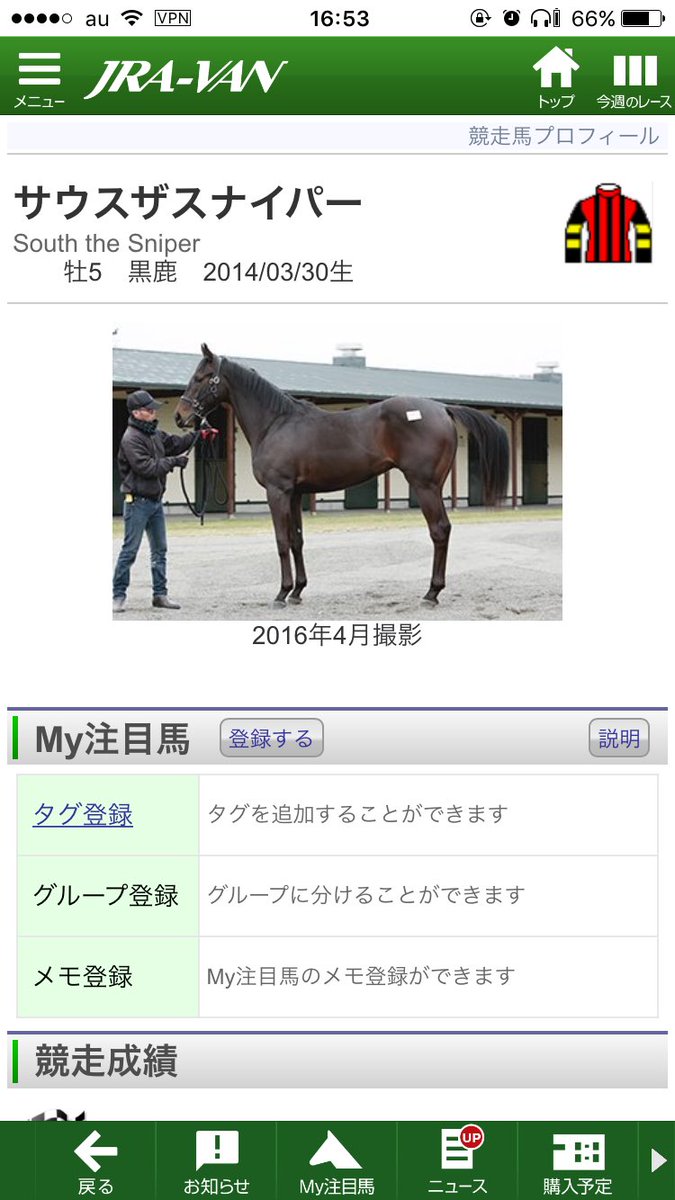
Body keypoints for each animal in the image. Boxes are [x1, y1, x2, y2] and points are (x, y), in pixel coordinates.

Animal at [175, 344, 509, 606]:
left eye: (201, 378)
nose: (180, 416)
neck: (276, 423)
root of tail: (442, 408)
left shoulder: (277, 491)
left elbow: (281, 541)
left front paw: (281, 593)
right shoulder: (295, 493)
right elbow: (297, 540)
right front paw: (297, 591)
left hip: (424, 486)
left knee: (439, 531)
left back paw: (431, 593)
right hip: (434, 487)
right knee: (445, 530)